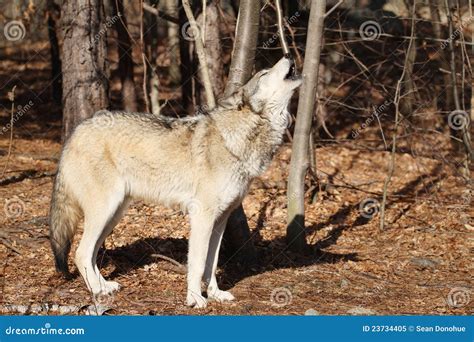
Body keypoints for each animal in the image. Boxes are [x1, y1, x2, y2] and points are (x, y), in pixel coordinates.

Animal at [50, 56, 302, 308]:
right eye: (264, 73)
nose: (288, 56)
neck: (238, 137)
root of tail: (75, 132)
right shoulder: (201, 216)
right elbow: (198, 263)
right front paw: (195, 299)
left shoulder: (220, 220)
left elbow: (211, 263)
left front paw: (215, 294)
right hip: (105, 211)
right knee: (81, 252)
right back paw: (97, 292)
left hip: (114, 215)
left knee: (91, 253)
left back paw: (105, 286)